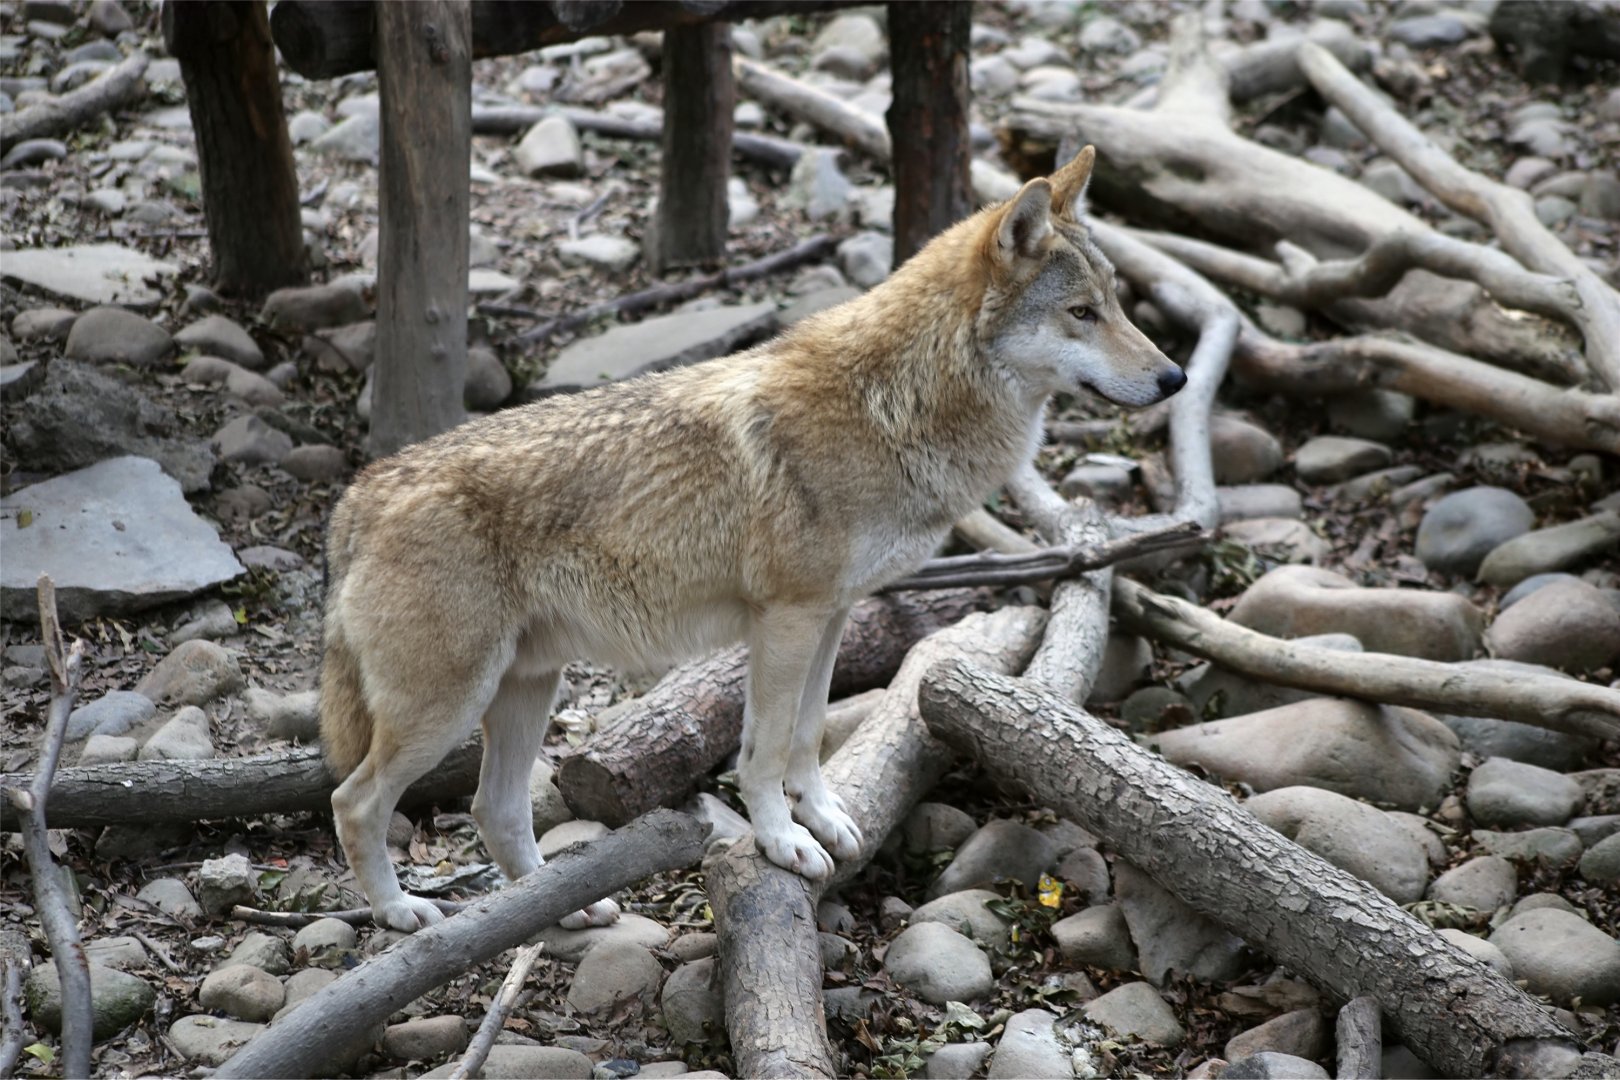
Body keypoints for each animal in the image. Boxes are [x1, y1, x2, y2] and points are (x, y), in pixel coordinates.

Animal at [319, 147, 1184, 932]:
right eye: (1082, 313)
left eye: (1117, 305)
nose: (1175, 378)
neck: (890, 406)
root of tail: (362, 493)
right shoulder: (787, 620)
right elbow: (763, 753)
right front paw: (781, 843)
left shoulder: (832, 618)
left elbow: (805, 737)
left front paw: (823, 818)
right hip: (448, 708)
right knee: (354, 801)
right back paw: (401, 914)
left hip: (527, 689)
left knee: (492, 810)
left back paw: (563, 909)